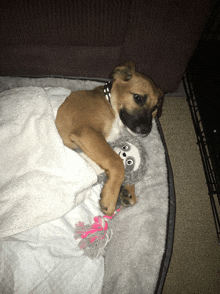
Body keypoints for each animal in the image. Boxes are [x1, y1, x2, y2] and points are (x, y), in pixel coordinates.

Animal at [55, 60, 163, 215]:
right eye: (138, 98)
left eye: (155, 108)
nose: (146, 130)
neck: (110, 103)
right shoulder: (87, 132)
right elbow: (117, 162)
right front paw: (111, 196)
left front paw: (128, 190)